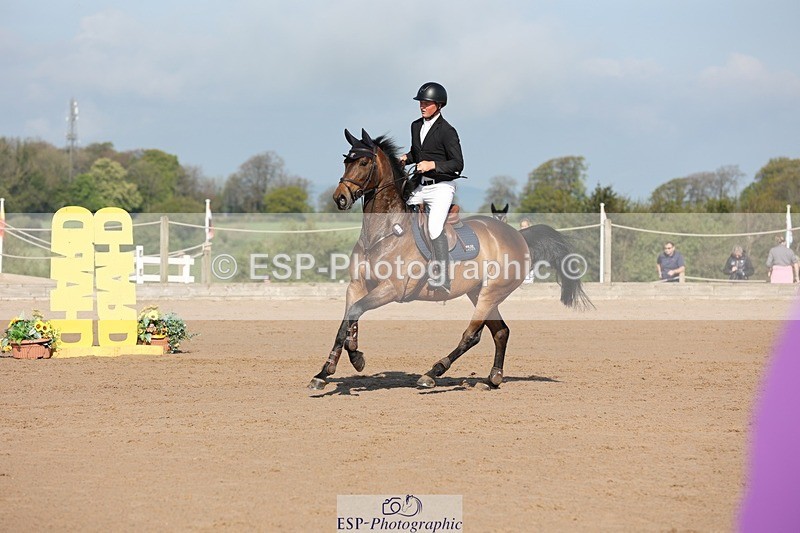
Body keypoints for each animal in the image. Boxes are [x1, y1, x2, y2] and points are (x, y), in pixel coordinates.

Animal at [309, 128, 591, 390]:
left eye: (364, 163)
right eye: (346, 161)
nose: (340, 197)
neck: (382, 232)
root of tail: (518, 236)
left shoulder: (391, 289)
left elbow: (355, 313)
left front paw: (351, 359)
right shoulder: (357, 285)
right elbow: (346, 322)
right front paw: (329, 369)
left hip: (491, 293)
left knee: (472, 335)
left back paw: (433, 373)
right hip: (479, 293)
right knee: (501, 331)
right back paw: (493, 378)